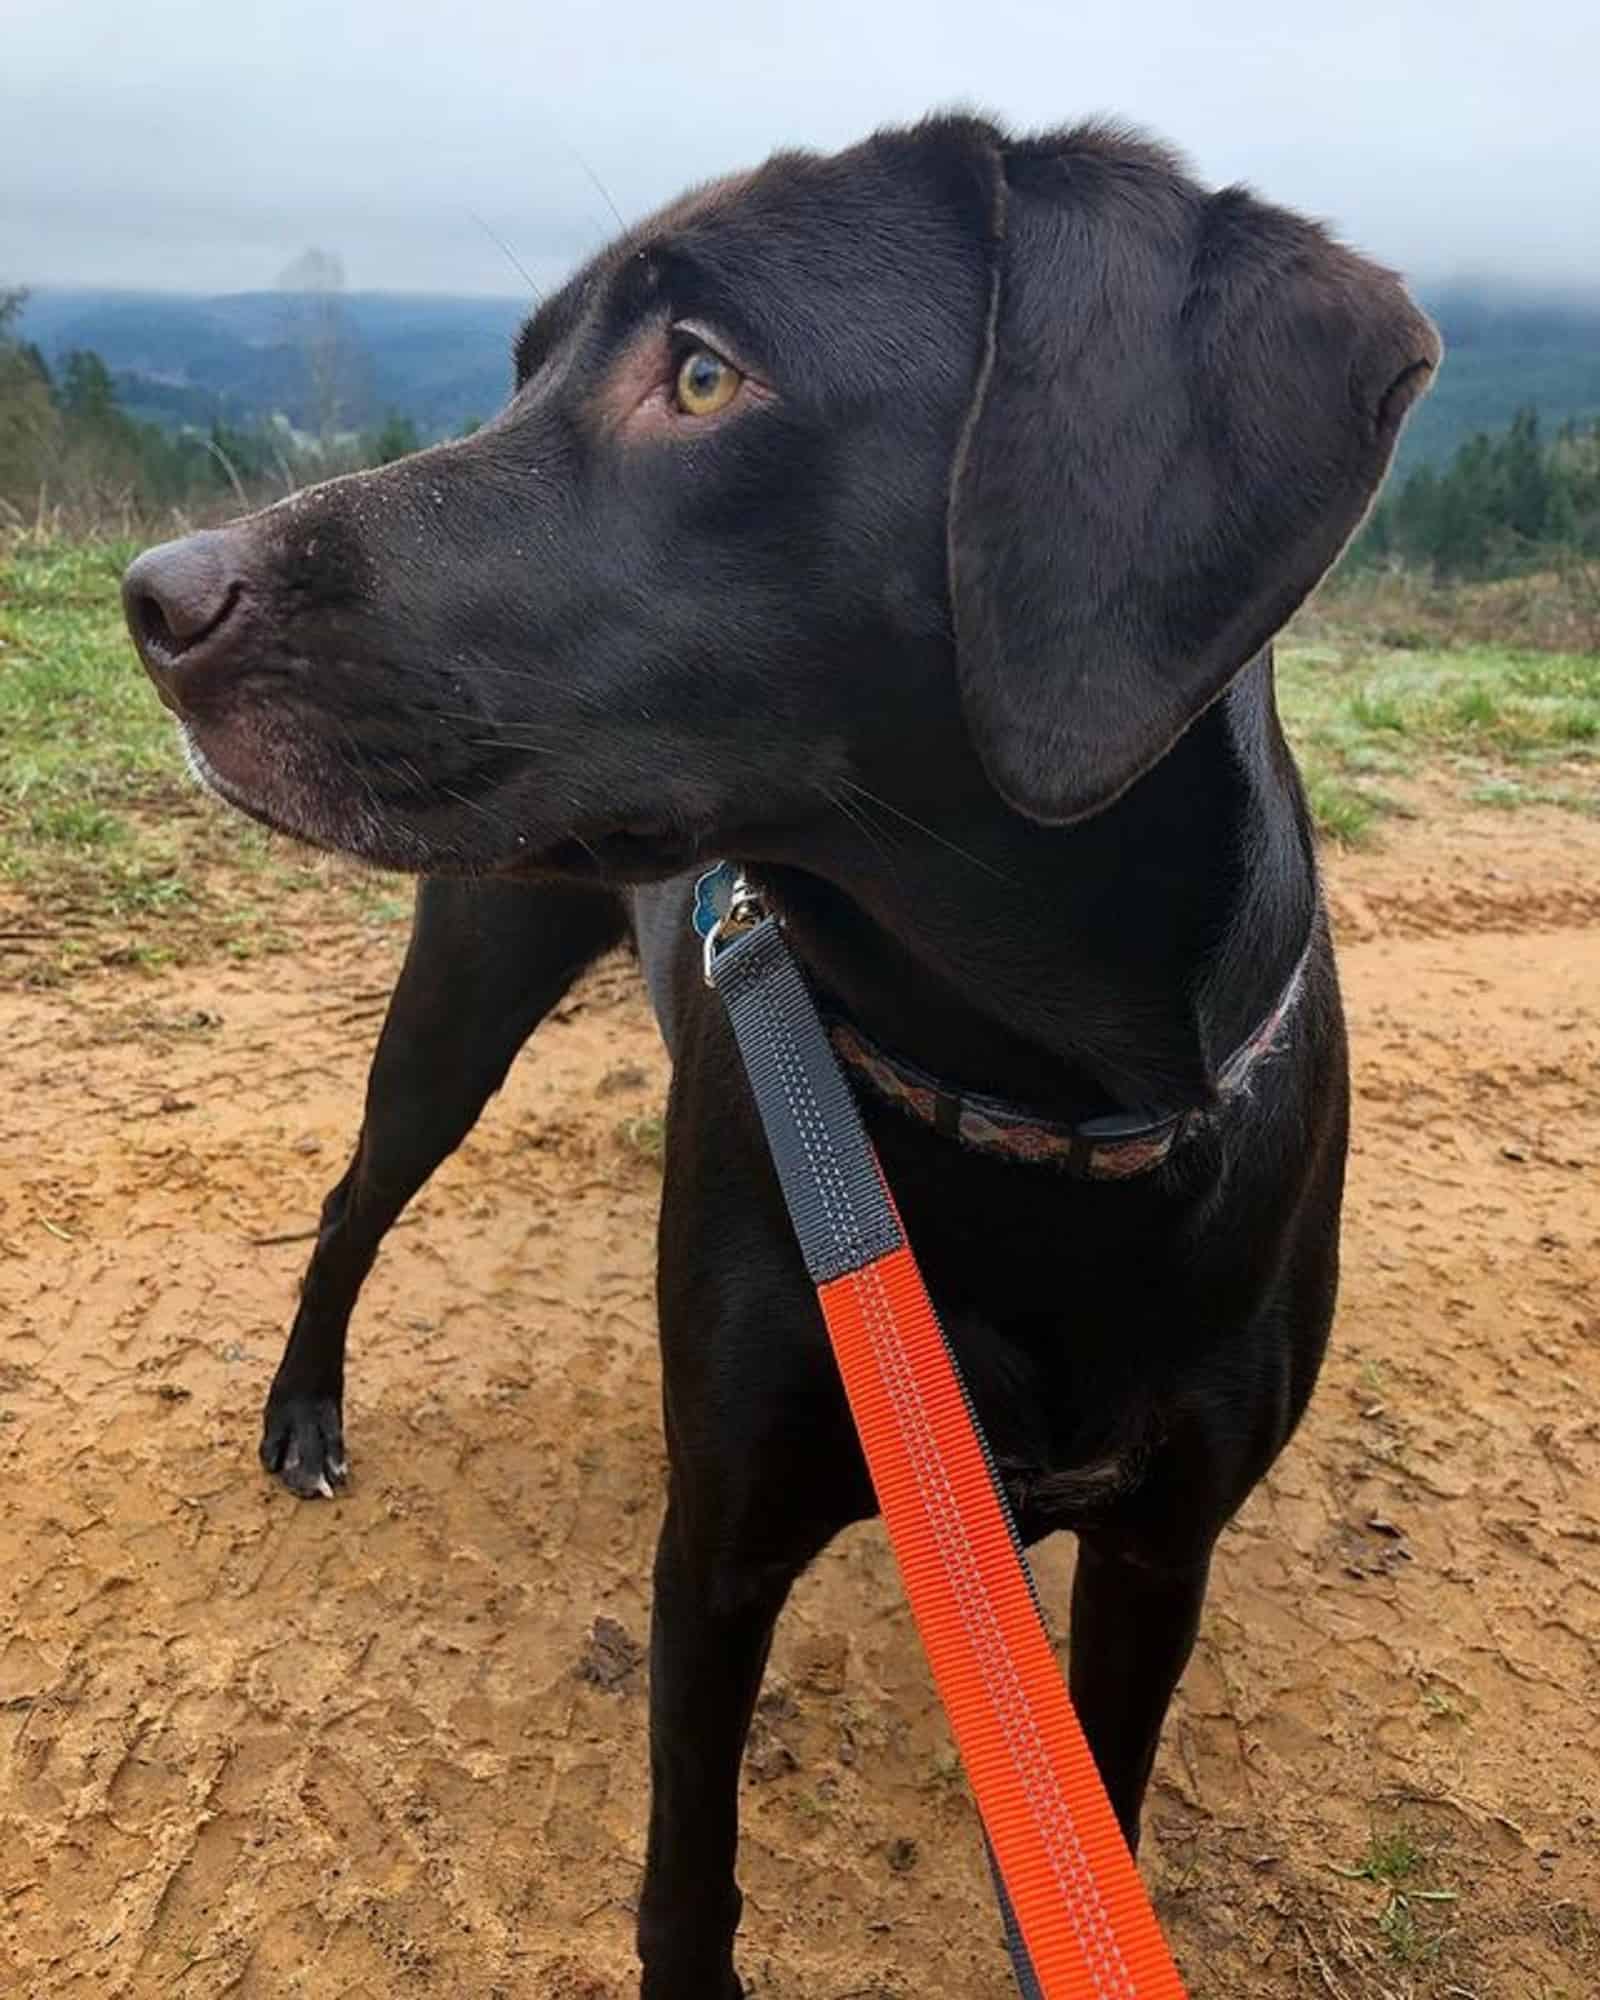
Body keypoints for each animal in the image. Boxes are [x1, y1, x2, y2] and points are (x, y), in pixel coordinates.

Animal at [122, 117, 1440, 1992]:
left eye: (701, 375)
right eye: (523, 369)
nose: (158, 599)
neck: (1023, 1106)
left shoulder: (1156, 1560)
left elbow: (1089, 1821)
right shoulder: (720, 1543)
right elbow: (687, 1875)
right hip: (460, 1005)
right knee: (350, 1202)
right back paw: (303, 1409)